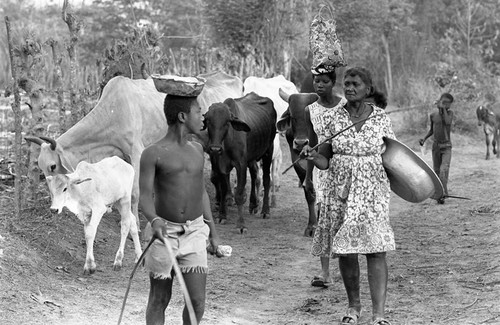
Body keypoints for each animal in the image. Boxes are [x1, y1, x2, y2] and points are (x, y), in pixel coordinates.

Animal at [203, 92, 278, 233]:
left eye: (227, 122)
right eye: (208, 120)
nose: (215, 148)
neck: (226, 142)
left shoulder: (240, 165)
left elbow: (239, 194)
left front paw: (241, 225)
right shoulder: (219, 165)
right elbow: (223, 189)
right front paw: (222, 215)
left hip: (268, 151)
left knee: (266, 179)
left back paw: (265, 210)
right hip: (251, 157)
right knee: (254, 174)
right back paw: (253, 204)